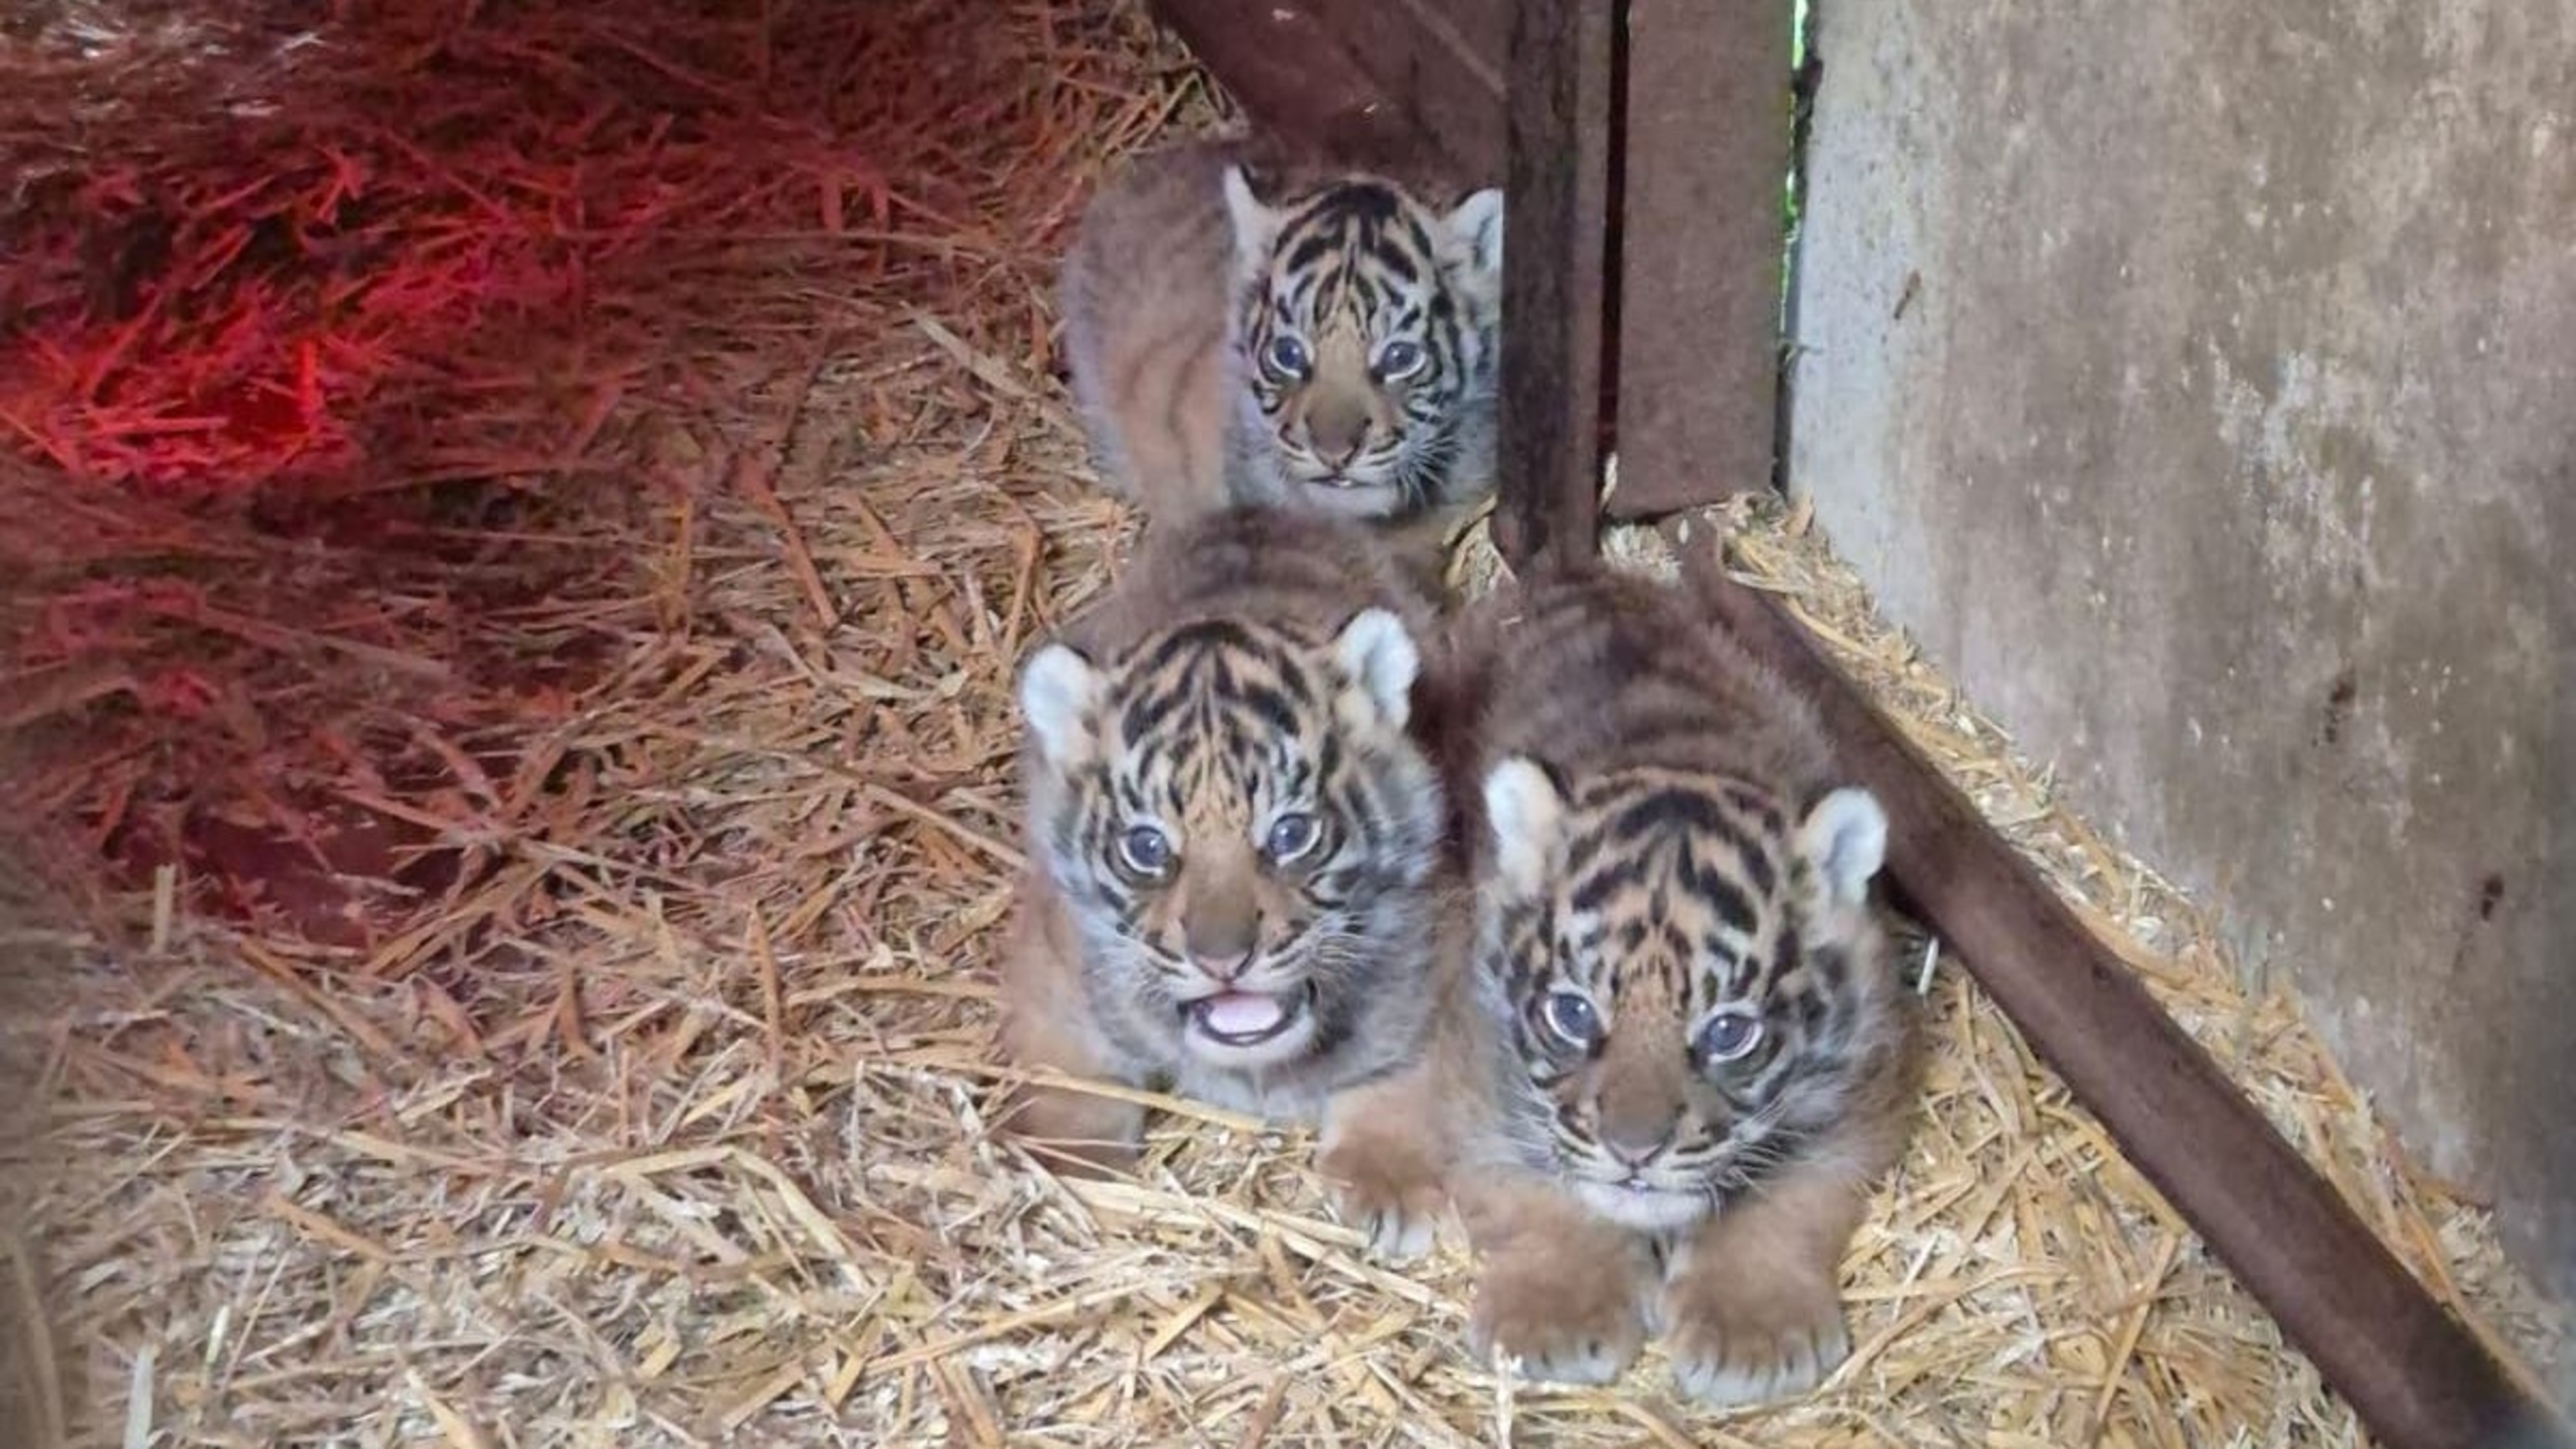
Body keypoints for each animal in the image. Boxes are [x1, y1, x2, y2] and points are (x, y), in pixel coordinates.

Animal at [993, 506, 1457, 1233]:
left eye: (1291, 833)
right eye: (1147, 847)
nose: (1223, 961)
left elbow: (1407, 1064)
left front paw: (1392, 1181)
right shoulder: (1055, 957)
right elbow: (1069, 1064)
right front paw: (1067, 1166)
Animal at [1331, 564, 1923, 1406]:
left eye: (1728, 1032)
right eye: (1574, 1014)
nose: (1633, 1151)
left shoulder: (1867, 1080)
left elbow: (1788, 1202)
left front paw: (1750, 1332)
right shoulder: (1482, 1068)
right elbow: (1537, 1190)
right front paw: (1558, 1318)